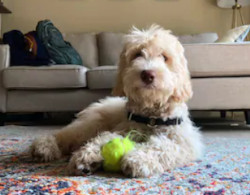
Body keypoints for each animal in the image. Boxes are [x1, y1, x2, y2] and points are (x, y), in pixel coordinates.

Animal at [30, 24, 203, 178]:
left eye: (164, 57)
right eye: (137, 54)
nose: (147, 74)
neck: (150, 117)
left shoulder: (182, 141)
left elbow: (163, 146)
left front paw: (138, 159)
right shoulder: (123, 129)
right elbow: (104, 137)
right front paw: (87, 155)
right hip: (90, 124)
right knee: (64, 134)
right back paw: (44, 147)